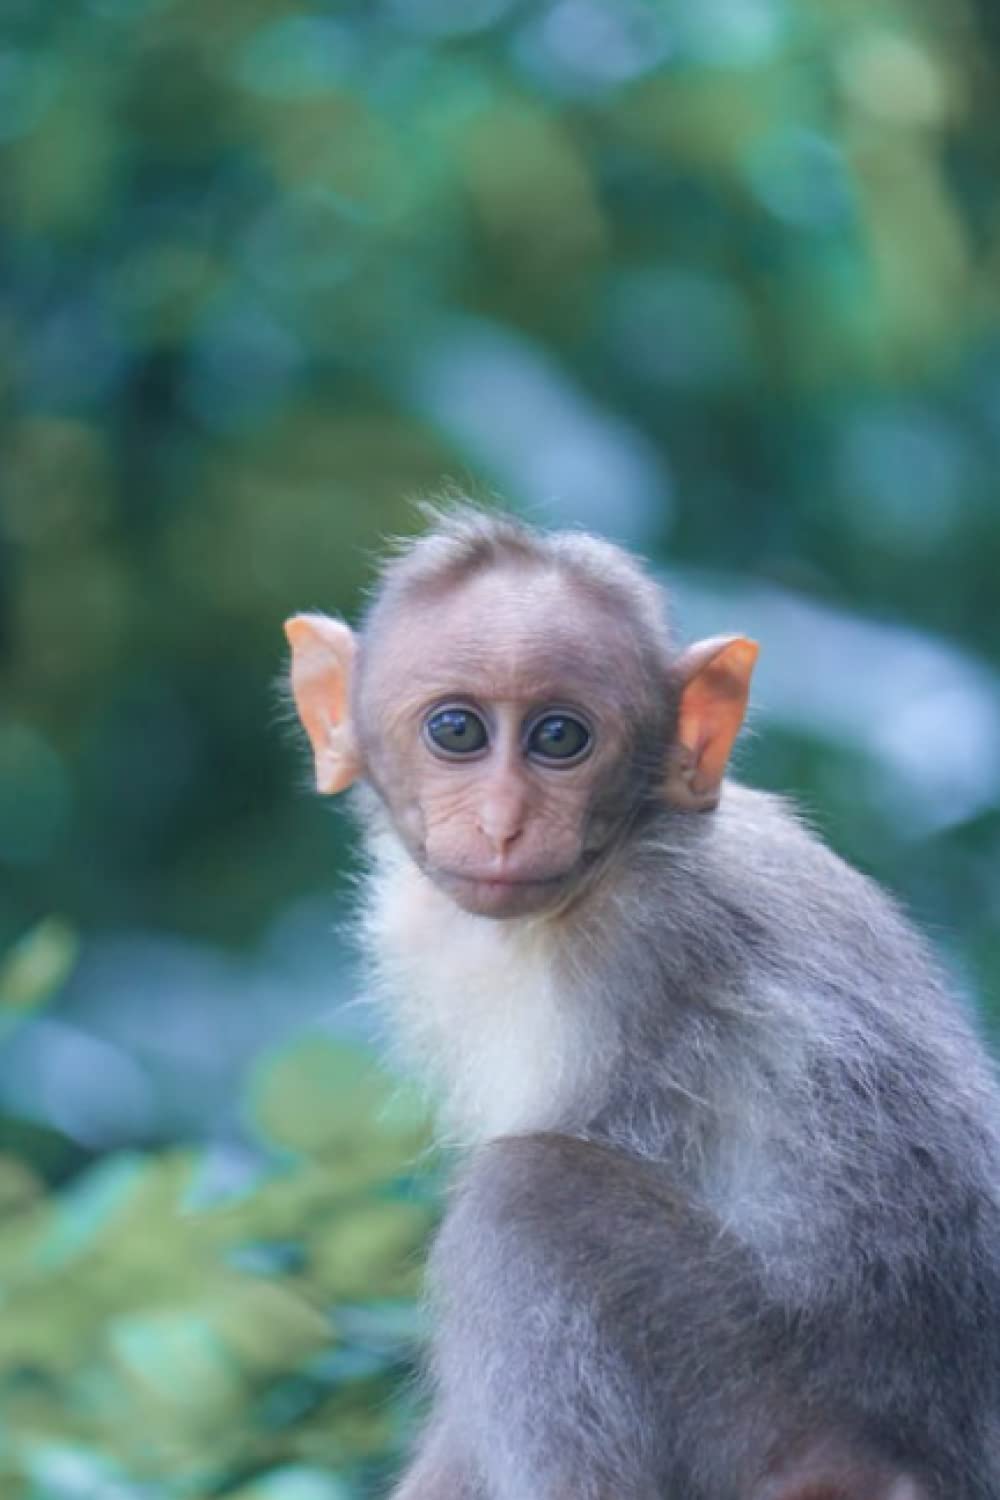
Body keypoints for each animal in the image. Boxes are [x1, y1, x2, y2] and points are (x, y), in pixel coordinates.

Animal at [284, 504, 1000, 1500]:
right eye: (458, 730)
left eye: (559, 739)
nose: (503, 824)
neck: (624, 848)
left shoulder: (639, 956)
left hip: (784, 1426)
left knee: (523, 1197)